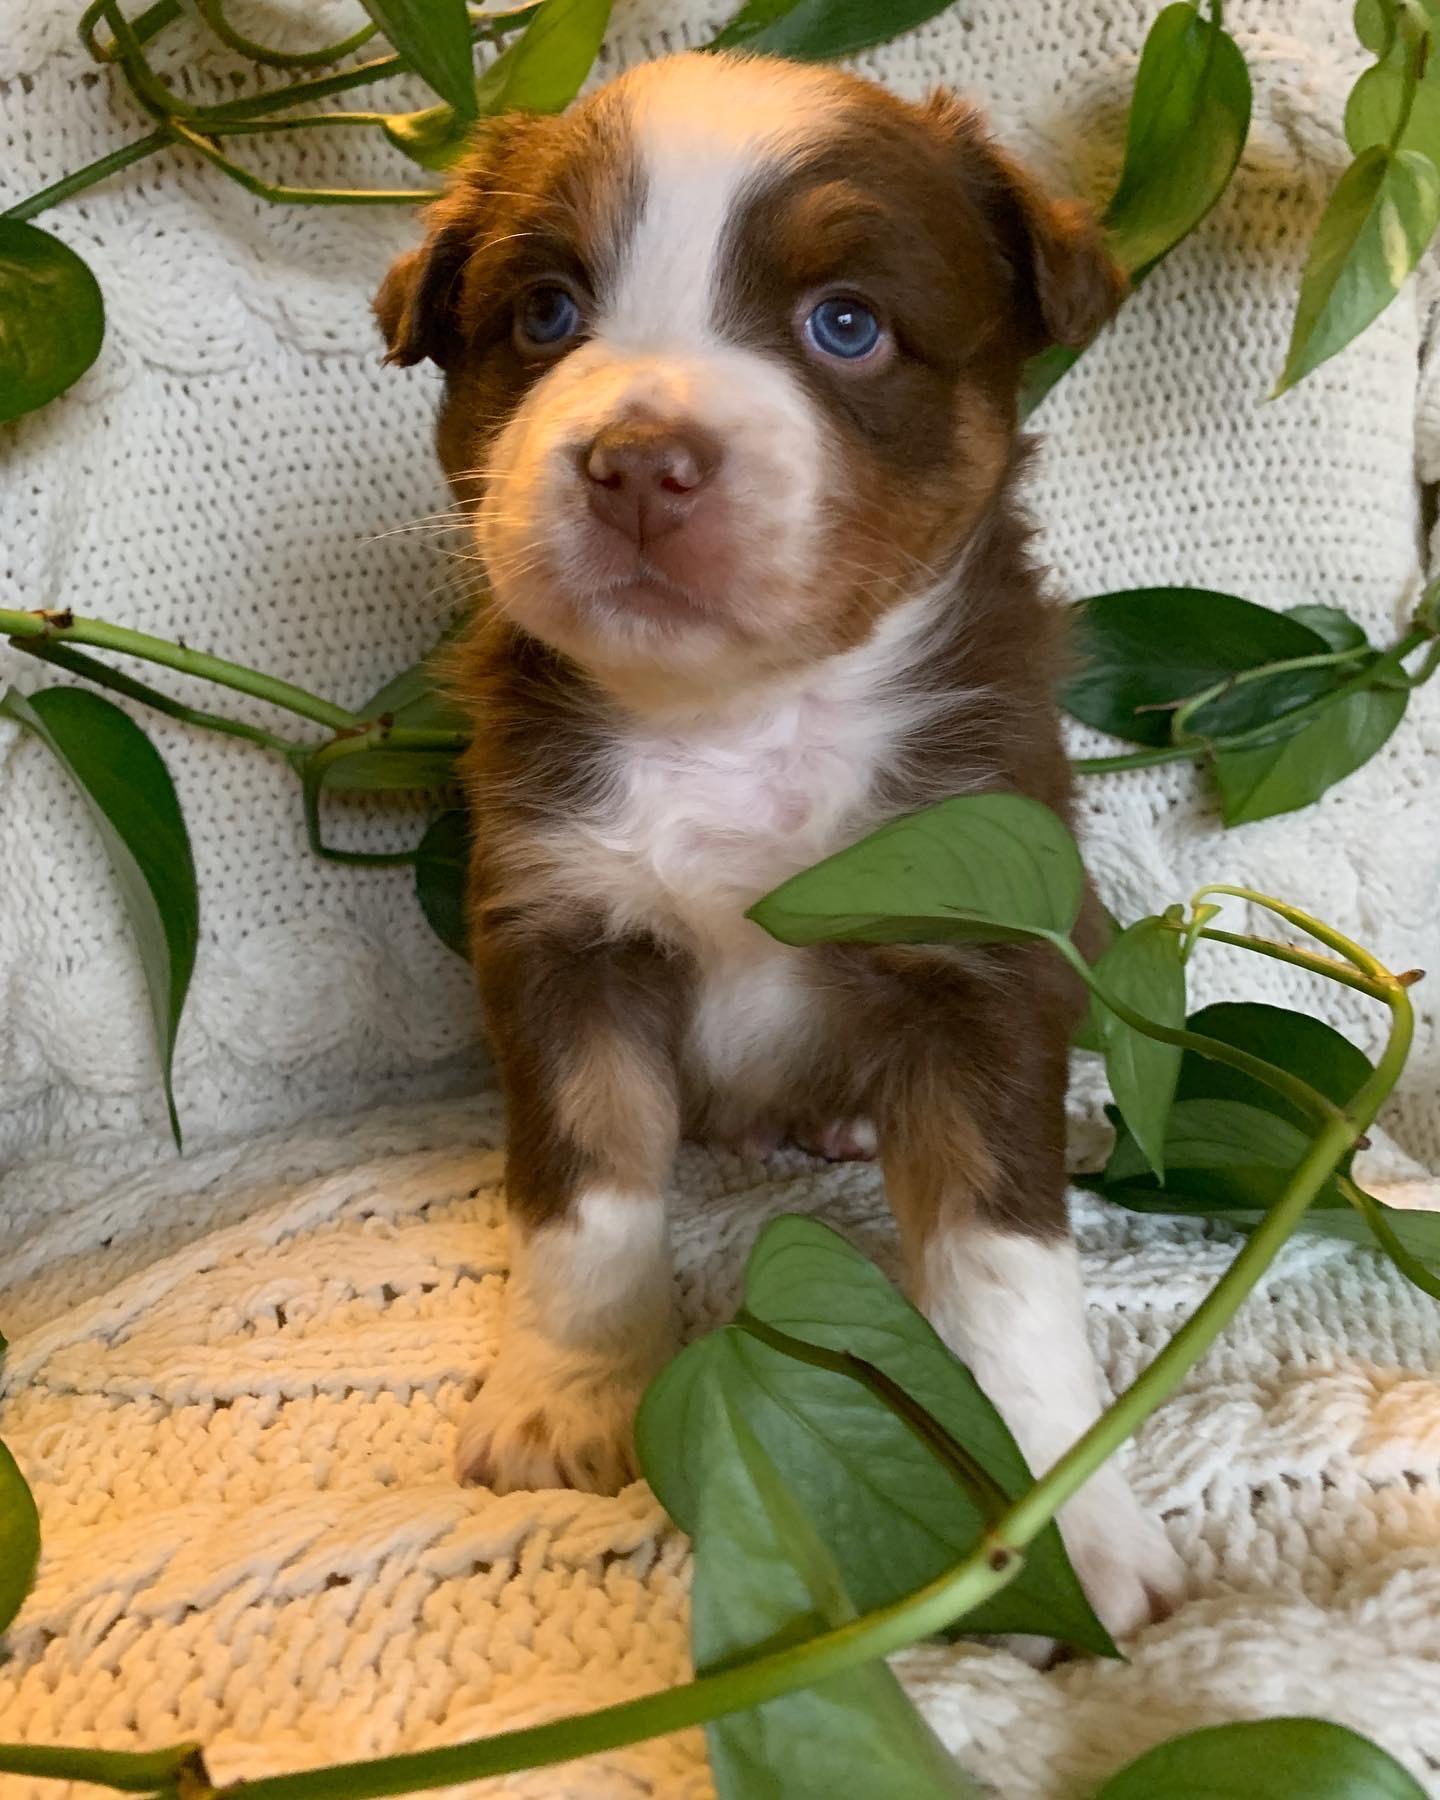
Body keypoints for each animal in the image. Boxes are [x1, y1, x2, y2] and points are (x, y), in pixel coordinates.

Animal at [376, 49, 1185, 1640]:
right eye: (546, 313)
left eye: (847, 324)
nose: (640, 462)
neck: (737, 720)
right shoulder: (561, 929)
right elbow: (589, 1198)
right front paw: (568, 1398)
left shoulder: (978, 930)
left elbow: (1001, 1268)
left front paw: (1063, 1518)